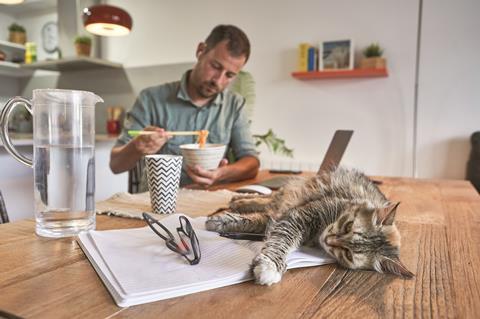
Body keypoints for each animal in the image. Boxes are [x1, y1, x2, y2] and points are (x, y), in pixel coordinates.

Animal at [205, 168, 412, 288]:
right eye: (348, 226)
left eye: (348, 254)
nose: (328, 239)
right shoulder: (300, 214)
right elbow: (279, 239)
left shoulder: (283, 216)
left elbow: (256, 223)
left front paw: (221, 221)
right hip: (293, 193)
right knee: (267, 198)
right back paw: (238, 200)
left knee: (267, 203)